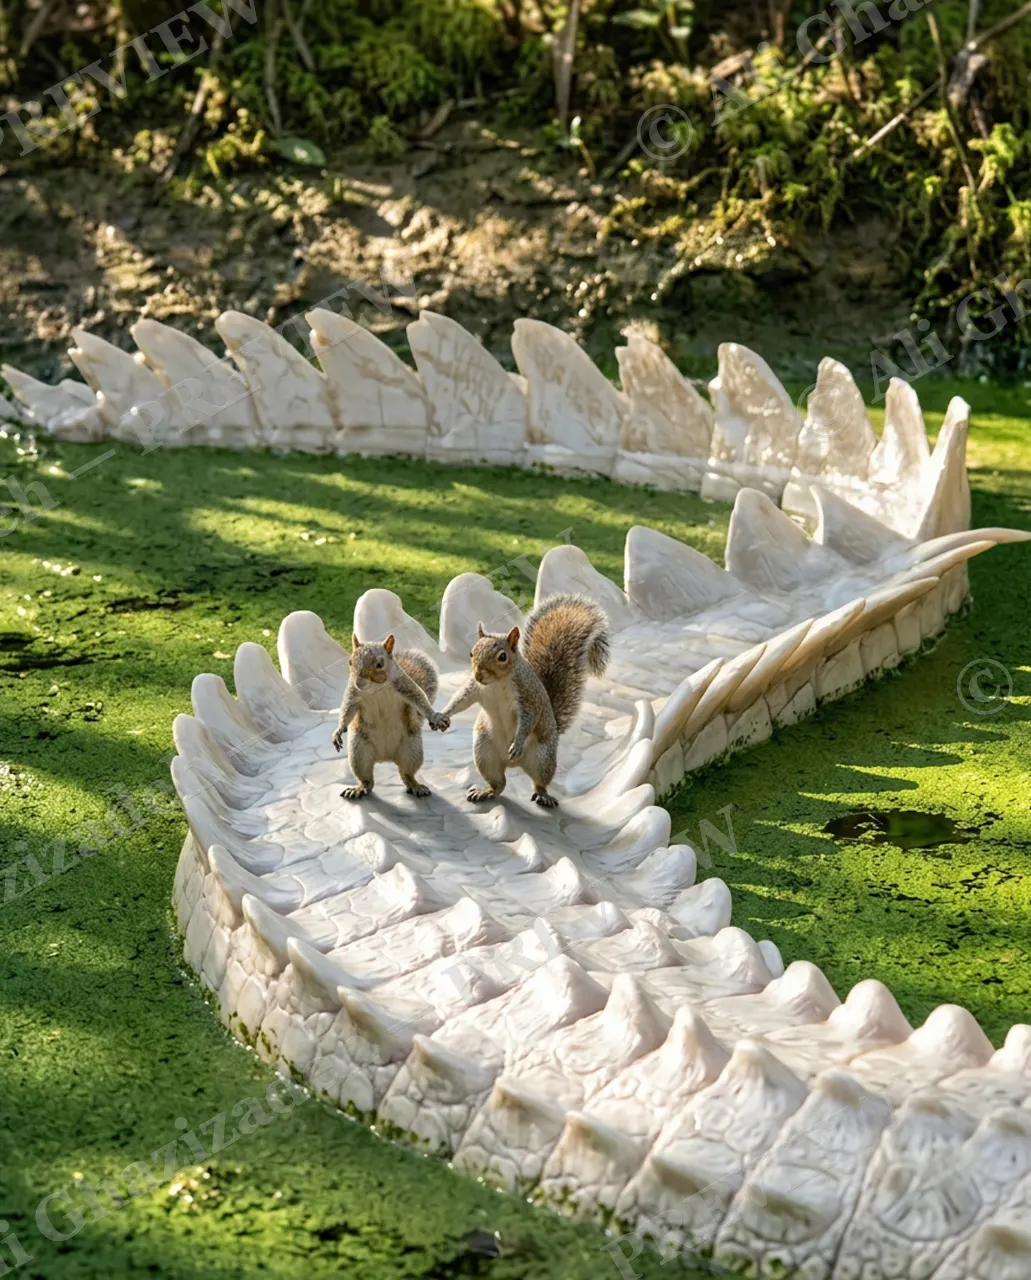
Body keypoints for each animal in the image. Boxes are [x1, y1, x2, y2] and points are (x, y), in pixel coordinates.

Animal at [332, 633, 449, 800]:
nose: (359, 683)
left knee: (406, 774)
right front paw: (339, 731)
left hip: (412, 751)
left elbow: (420, 699)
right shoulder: (353, 693)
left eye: (380, 664)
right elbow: (347, 710)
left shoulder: (405, 686)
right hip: (358, 752)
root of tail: (384, 757)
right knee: (367, 779)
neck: (377, 687)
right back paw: (359, 788)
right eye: (350, 662)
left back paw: (416, 786)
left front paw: (434, 716)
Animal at [439, 593, 609, 808]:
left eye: (502, 656)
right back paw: (484, 791)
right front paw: (442, 715)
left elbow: (528, 719)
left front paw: (517, 742)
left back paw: (543, 795)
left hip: (543, 759)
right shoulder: (475, 689)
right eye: (472, 652)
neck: (497, 682)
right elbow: (460, 700)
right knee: (499, 784)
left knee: (539, 783)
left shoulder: (528, 697)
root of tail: (513, 764)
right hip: (484, 754)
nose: (478, 674)